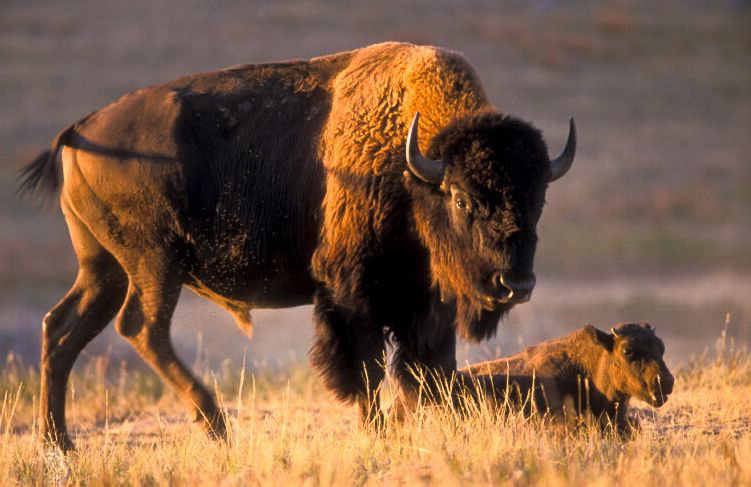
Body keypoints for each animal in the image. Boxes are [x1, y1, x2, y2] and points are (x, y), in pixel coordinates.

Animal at [19, 42, 576, 450]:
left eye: (539, 198)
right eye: (461, 198)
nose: (515, 282)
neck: (411, 166)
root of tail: (80, 129)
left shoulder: (426, 306)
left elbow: (430, 372)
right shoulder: (352, 296)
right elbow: (366, 368)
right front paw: (377, 430)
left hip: (104, 268)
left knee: (62, 329)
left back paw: (58, 443)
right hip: (154, 264)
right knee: (141, 328)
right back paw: (217, 426)